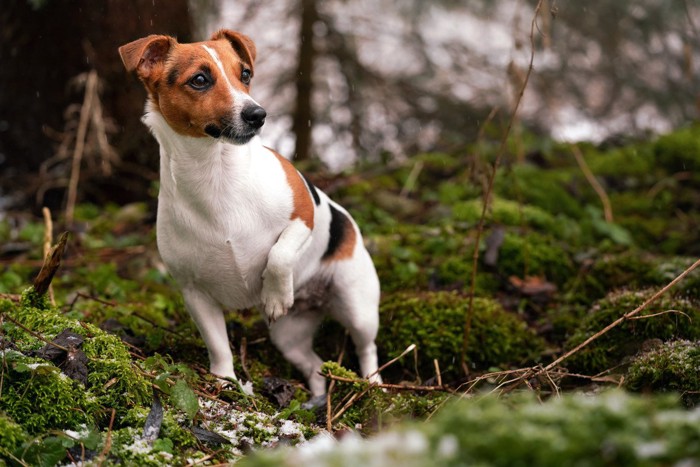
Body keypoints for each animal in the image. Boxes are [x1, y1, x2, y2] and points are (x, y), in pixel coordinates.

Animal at [120, 29, 382, 404]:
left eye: (245, 74)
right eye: (199, 80)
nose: (258, 114)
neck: (216, 172)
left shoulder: (303, 215)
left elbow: (279, 254)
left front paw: (275, 295)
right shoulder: (195, 294)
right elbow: (218, 346)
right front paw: (226, 381)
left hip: (357, 306)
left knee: (367, 349)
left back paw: (374, 385)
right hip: (288, 335)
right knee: (315, 365)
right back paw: (316, 398)